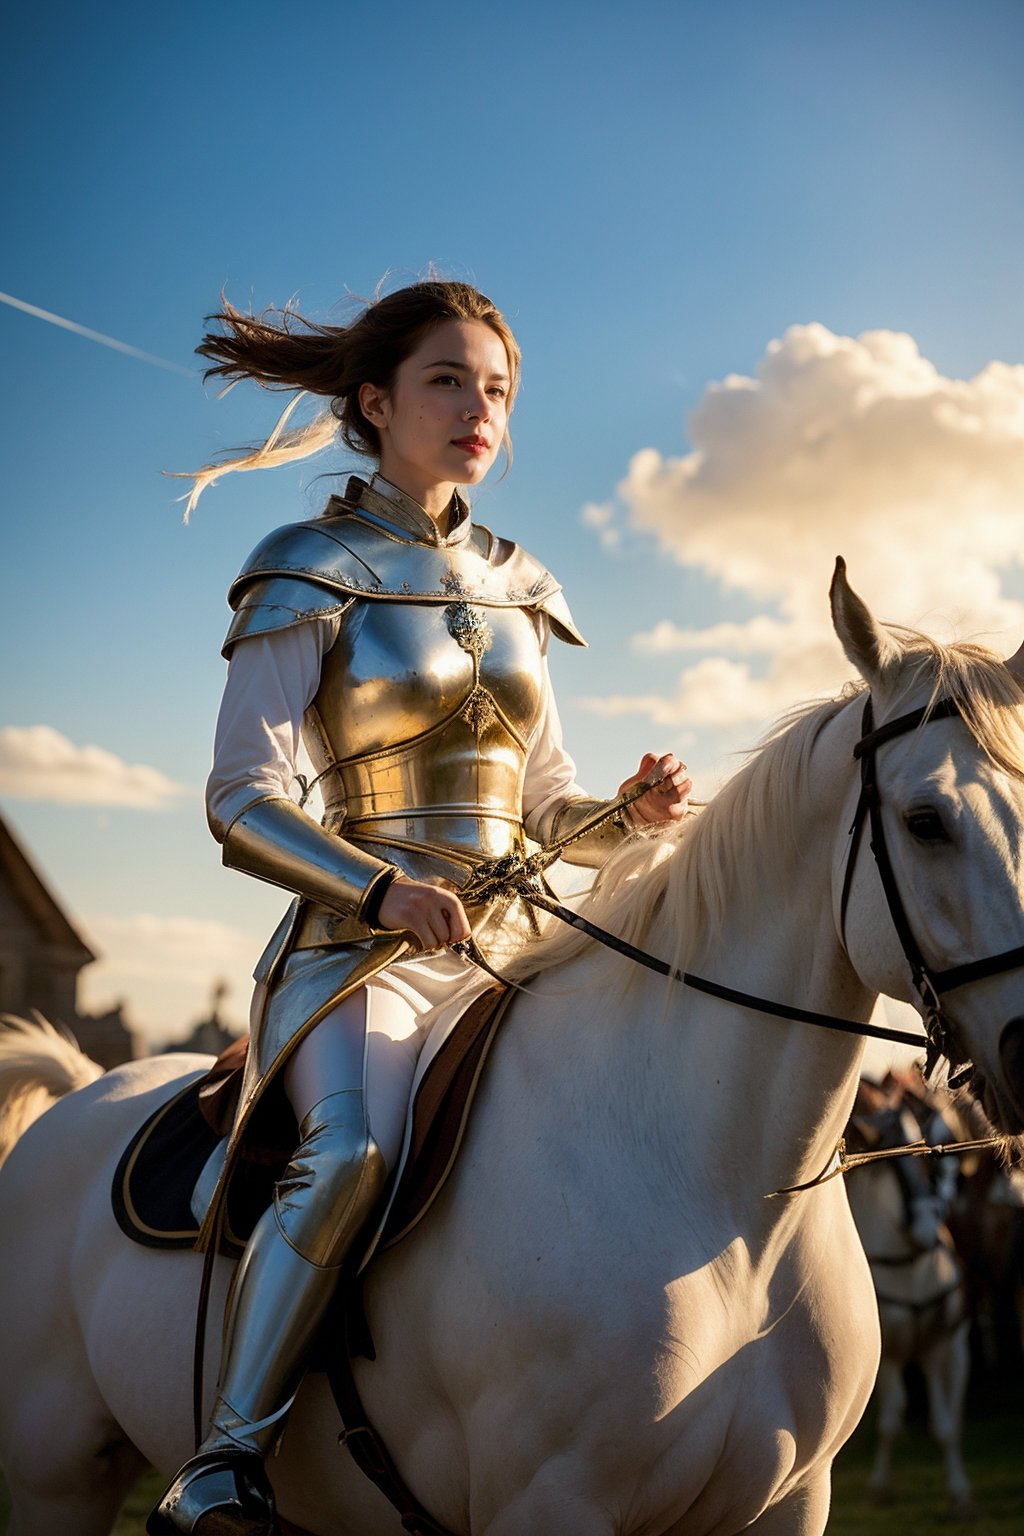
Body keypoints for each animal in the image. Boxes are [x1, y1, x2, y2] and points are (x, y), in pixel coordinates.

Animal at [847, 1099, 976, 1517]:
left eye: (930, 1156)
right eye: (891, 1162)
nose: (927, 1224)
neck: (911, 1266)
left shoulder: (943, 1347)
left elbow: (945, 1426)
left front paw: (960, 1494)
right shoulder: (888, 1354)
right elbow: (890, 1420)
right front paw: (879, 1486)